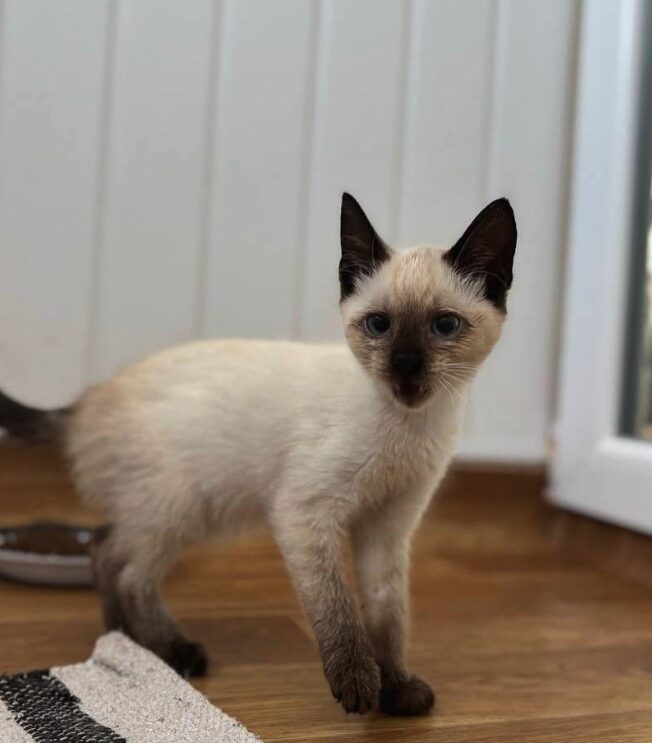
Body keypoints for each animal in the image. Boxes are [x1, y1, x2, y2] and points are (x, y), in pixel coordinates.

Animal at [1, 195, 520, 716]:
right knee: (127, 569)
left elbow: (387, 614)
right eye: (379, 325)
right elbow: (338, 609)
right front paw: (358, 686)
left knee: (105, 546)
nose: (406, 366)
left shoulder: (388, 527)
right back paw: (173, 651)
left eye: (444, 326)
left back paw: (122, 637)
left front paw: (397, 688)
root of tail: (86, 399)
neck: (410, 425)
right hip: (181, 506)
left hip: (168, 510)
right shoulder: (305, 513)